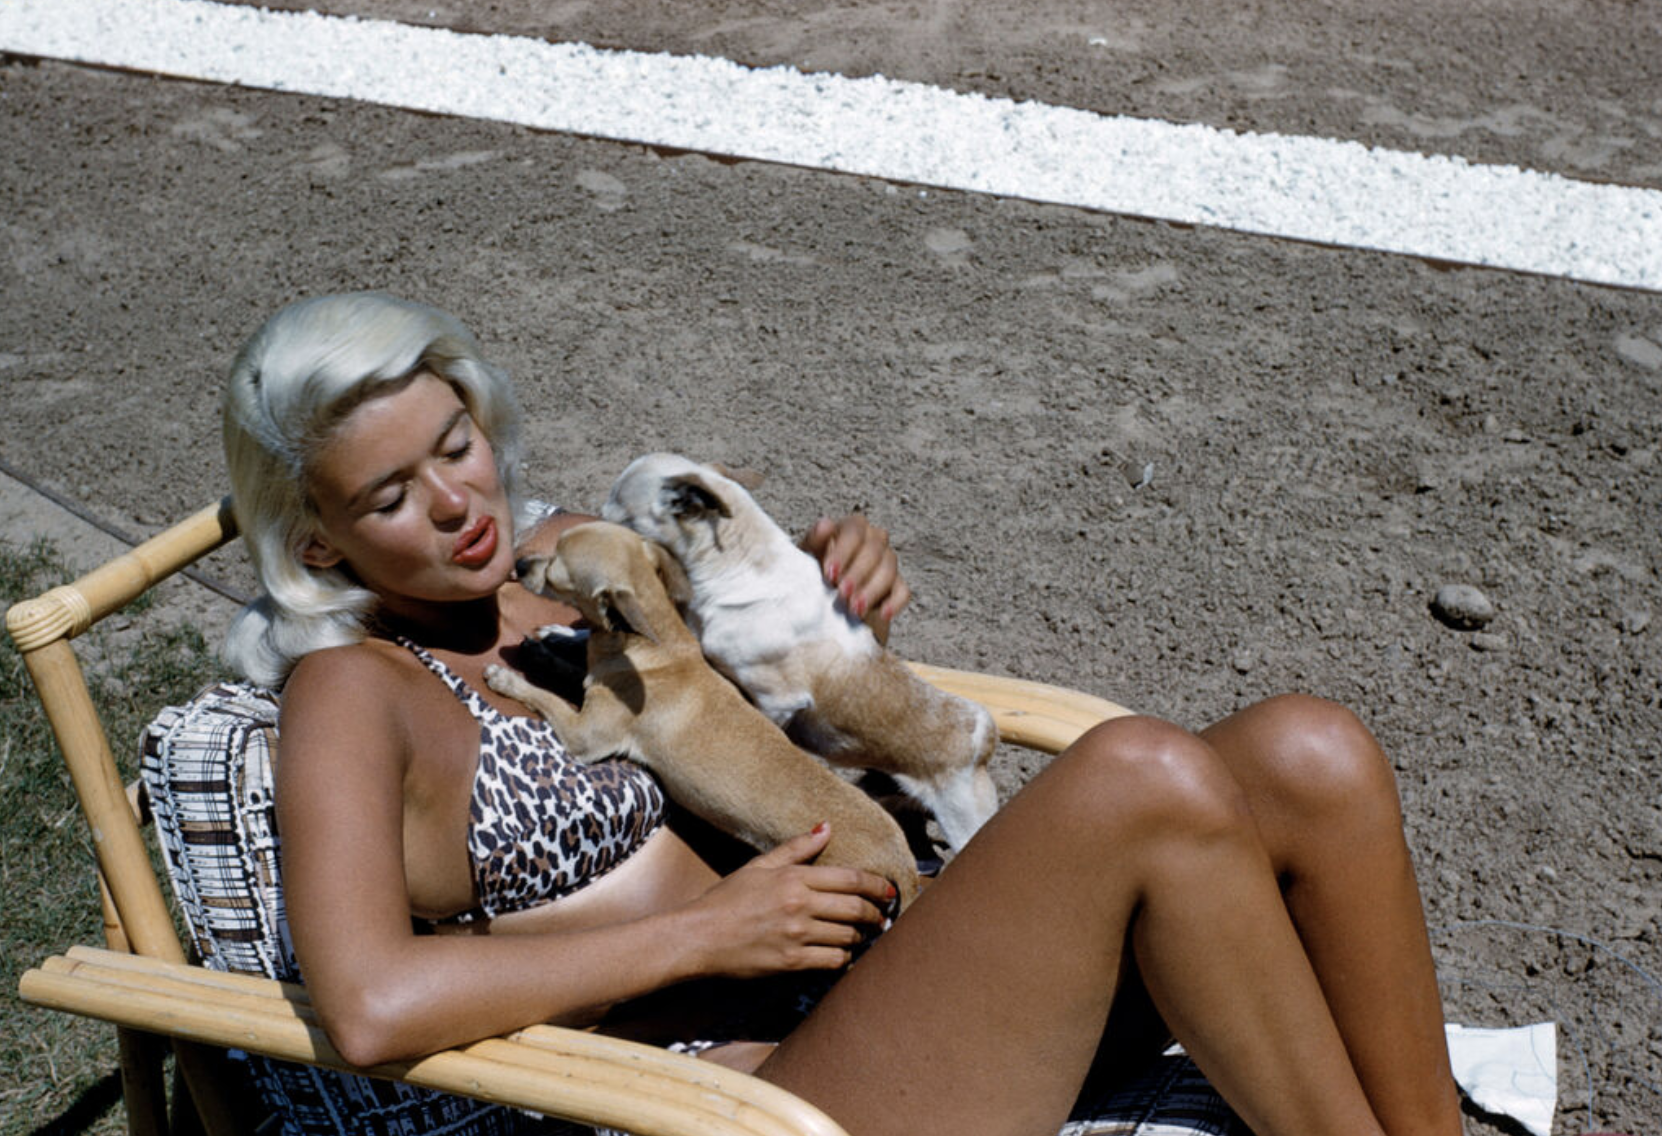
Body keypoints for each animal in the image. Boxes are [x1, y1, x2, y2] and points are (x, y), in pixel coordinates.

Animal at [481, 521, 924, 903]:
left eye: (556, 572)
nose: (519, 563)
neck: (656, 643)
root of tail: (902, 862)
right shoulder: (599, 682)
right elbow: (574, 675)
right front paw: (545, 651)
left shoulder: (583, 736)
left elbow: (547, 698)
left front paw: (506, 678)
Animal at [601, 451, 997, 850]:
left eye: (617, 510)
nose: (596, 512)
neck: (734, 567)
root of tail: (984, 736)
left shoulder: (777, 702)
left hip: (964, 822)